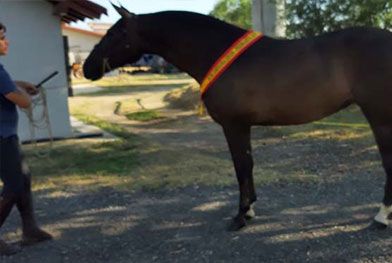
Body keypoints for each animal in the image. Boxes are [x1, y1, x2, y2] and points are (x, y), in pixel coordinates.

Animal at [82, 4, 392, 231]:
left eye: (114, 34)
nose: (86, 68)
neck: (215, 52)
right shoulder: (243, 126)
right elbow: (247, 166)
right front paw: (250, 210)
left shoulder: (234, 125)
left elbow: (241, 167)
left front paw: (241, 216)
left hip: (380, 118)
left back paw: (380, 217)